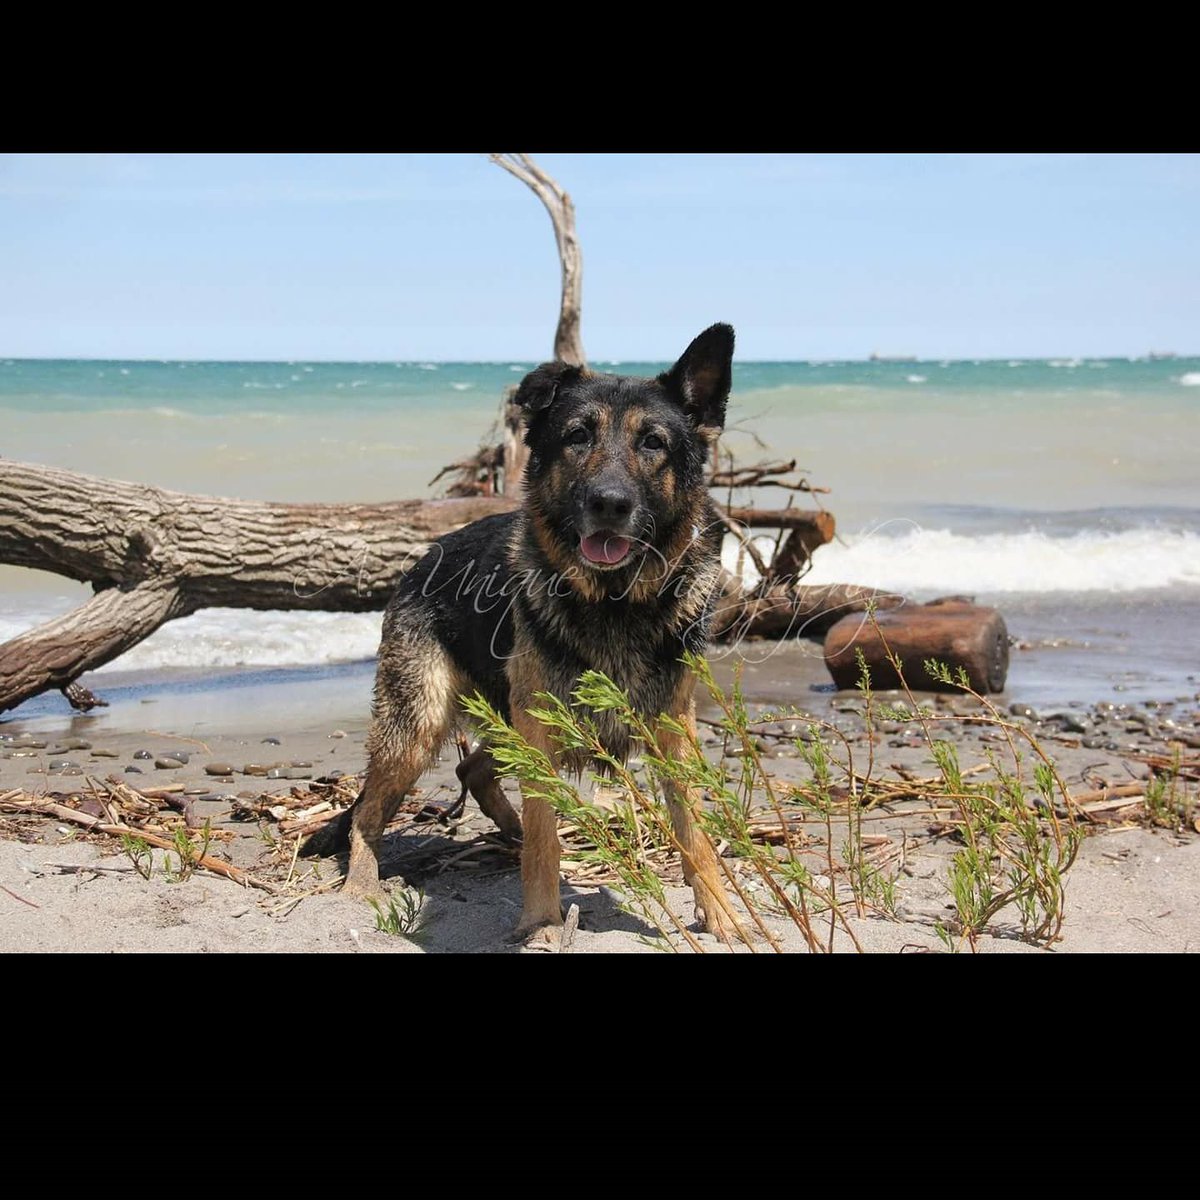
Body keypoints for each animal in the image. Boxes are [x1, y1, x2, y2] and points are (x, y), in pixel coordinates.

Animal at [297, 324, 739, 940]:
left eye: (653, 443)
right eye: (577, 436)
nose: (609, 504)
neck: (614, 603)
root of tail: (423, 558)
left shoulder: (672, 729)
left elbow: (695, 831)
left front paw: (720, 914)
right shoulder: (541, 731)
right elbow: (546, 841)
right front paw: (542, 921)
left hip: (507, 718)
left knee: (473, 768)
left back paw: (507, 830)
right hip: (421, 725)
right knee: (370, 809)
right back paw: (364, 880)